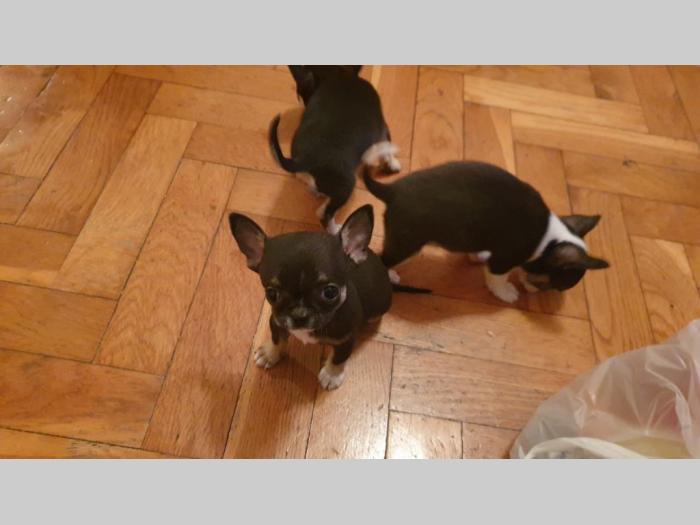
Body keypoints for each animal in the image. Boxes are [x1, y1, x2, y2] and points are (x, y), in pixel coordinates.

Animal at [229, 204, 425, 390]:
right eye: (272, 294)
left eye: (330, 292)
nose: (299, 314)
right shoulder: (276, 322)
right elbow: (277, 339)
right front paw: (270, 354)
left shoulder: (346, 340)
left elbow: (339, 358)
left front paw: (332, 375)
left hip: (378, 308)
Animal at [269, 65, 401, 234]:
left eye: (304, 95)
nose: (305, 105)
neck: (333, 75)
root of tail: (302, 161)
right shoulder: (383, 129)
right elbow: (387, 150)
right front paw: (393, 165)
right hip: (346, 185)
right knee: (324, 214)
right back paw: (335, 230)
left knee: (308, 183)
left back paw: (316, 191)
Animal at [362, 161, 610, 303]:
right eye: (555, 285)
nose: (537, 292)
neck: (547, 241)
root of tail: (392, 190)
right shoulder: (503, 260)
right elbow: (497, 278)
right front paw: (507, 293)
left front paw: (477, 256)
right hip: (408, 243)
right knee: (384, 258)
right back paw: (390, 275)